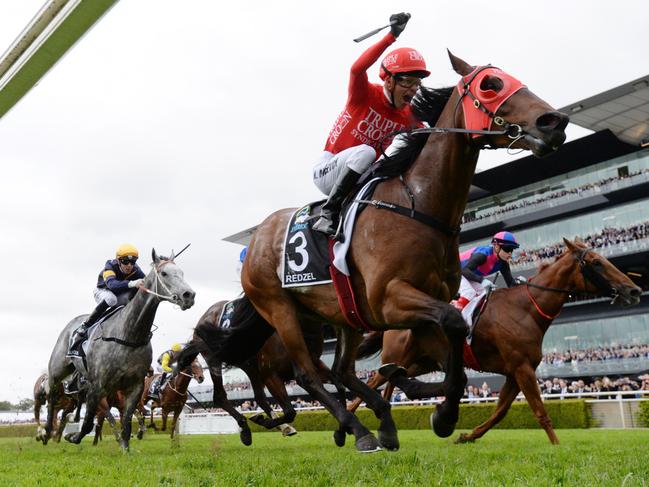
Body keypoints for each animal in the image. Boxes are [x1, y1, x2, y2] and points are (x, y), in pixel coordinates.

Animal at [42, 250, 194, 452]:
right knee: (51, 396)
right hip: (58, 370)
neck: (129, 335)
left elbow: (127, 421)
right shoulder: (97, 386)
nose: (189, 295)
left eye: (182, 273)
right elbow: (89, 422)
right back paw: (46, 432)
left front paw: (125, 448)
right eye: (164, 273)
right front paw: (73, 437)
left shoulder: (135, 386)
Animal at [197, 51, 568, 452]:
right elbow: (453, 325)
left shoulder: (426, 303)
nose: (554, 122)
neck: (417, 204)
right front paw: (439, 411)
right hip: (280, 310)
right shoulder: (388, 298)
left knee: (341, 370)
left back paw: (381, 422)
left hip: (341, 315)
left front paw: (439, 410)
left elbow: (450, 352)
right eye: (491, 84)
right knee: (309, 374)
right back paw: (357, 430)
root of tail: (255, 241)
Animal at [350, 240, 636, 446]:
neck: (525, 309)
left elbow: (500, 412)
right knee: (374, 382)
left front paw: (466, 436)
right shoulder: (522, 368)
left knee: (388, 382)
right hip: (402, 356)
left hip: (420, 363)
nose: (633, 290)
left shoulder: (515, 372)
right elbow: (540, 411)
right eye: (597, 262)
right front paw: (557, 446)